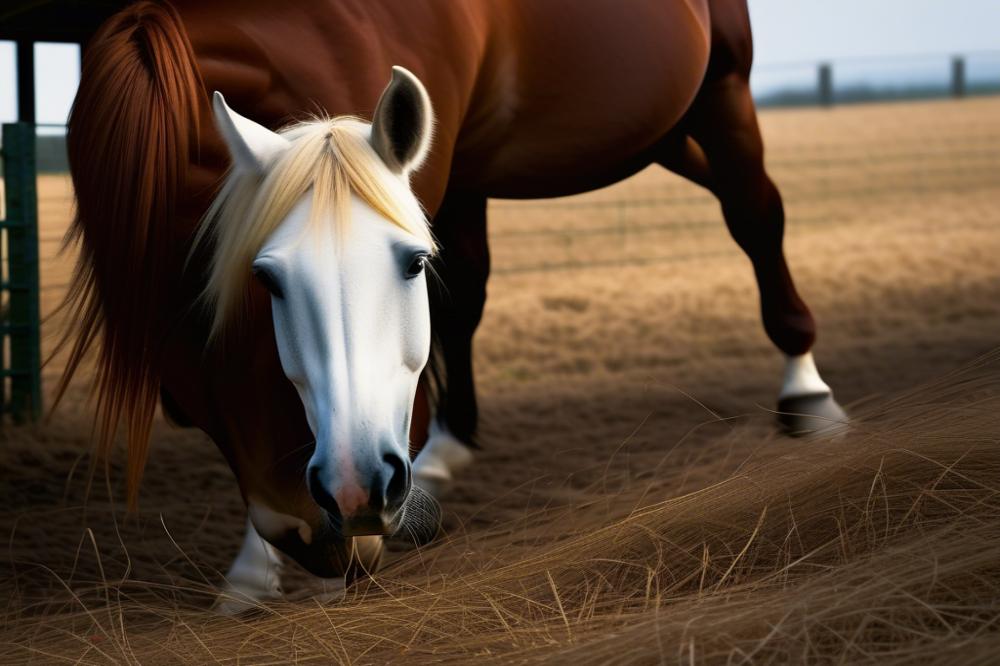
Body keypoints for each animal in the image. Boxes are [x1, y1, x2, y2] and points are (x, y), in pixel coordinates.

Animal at [60, 0, 844, 608]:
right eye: (266, 280)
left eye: (411, 263)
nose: (347, 502)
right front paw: (254, 574)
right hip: (642, 137)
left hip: (719, 95)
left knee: (755, 215)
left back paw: (807, 392)